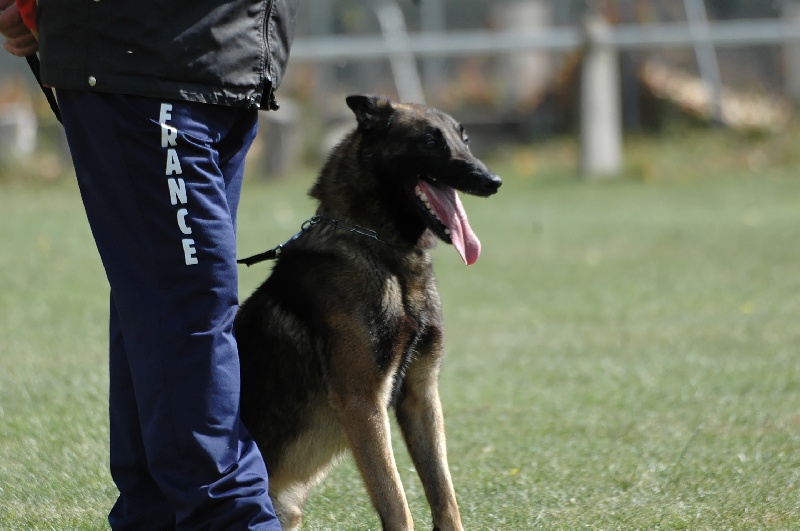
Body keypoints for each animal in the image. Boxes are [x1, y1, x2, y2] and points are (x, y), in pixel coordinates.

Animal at [234, 93, 504, 528]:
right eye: (430, 141)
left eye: (463, 139)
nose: (492, 180)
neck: (382, 250)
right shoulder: (362, 401)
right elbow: (396, 502)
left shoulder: (420, 393)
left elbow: (444, 495)